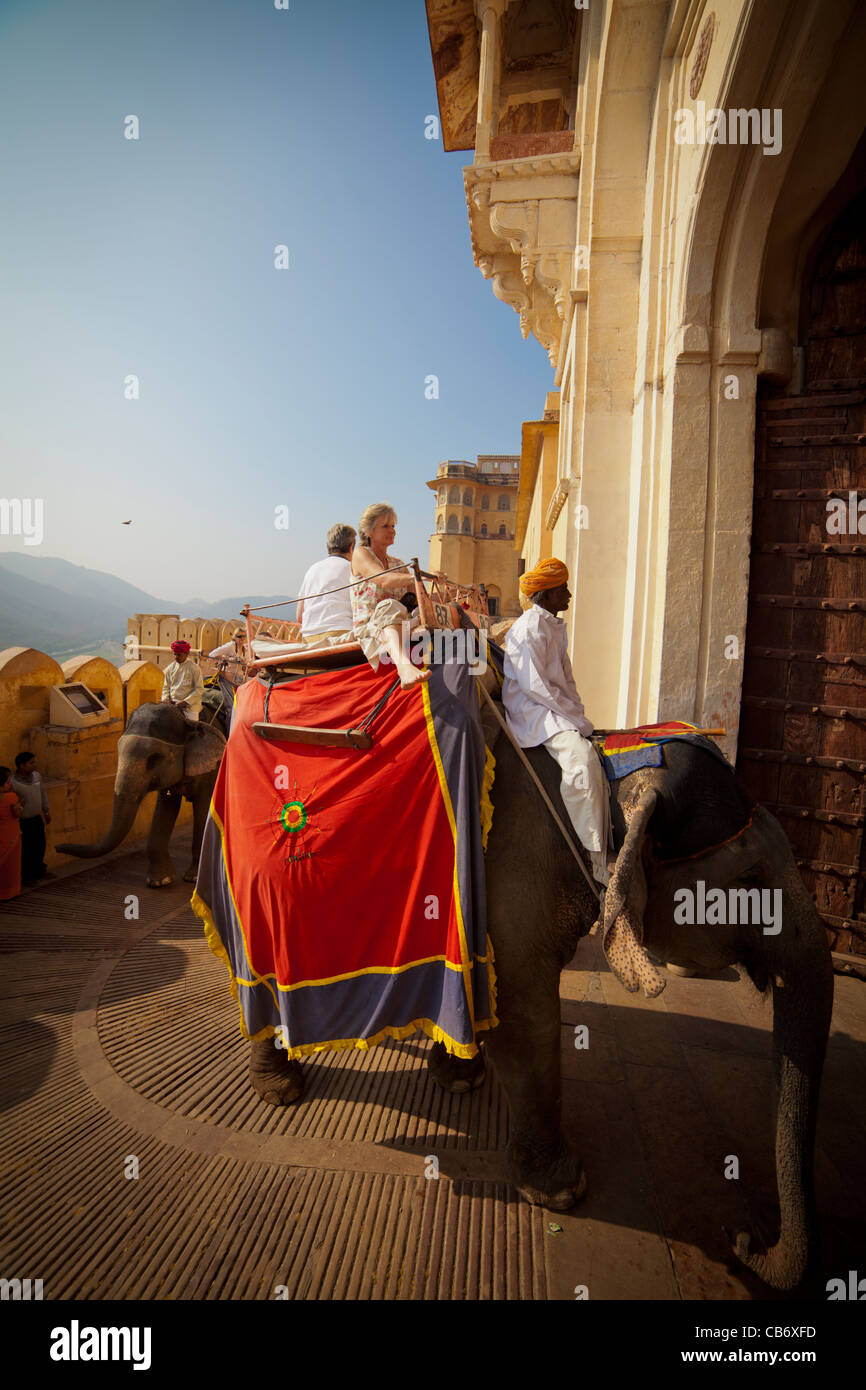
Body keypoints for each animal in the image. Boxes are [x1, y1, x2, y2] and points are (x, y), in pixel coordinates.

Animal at [57, 700, 225, 884]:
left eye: (154, 758)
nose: (57, 847)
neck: (188, 721)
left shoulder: (213, 768)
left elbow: (203, 808)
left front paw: (193, 878)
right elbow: (165, 809)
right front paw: (159, 881)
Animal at [248, 728, 834, 1289]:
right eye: (750, 880)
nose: (743, 1239)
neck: (606, 770)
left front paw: (462, 1081)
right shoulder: (510, 887)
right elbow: (524, 1020)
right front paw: (561, 1194)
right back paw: (279, 1091)